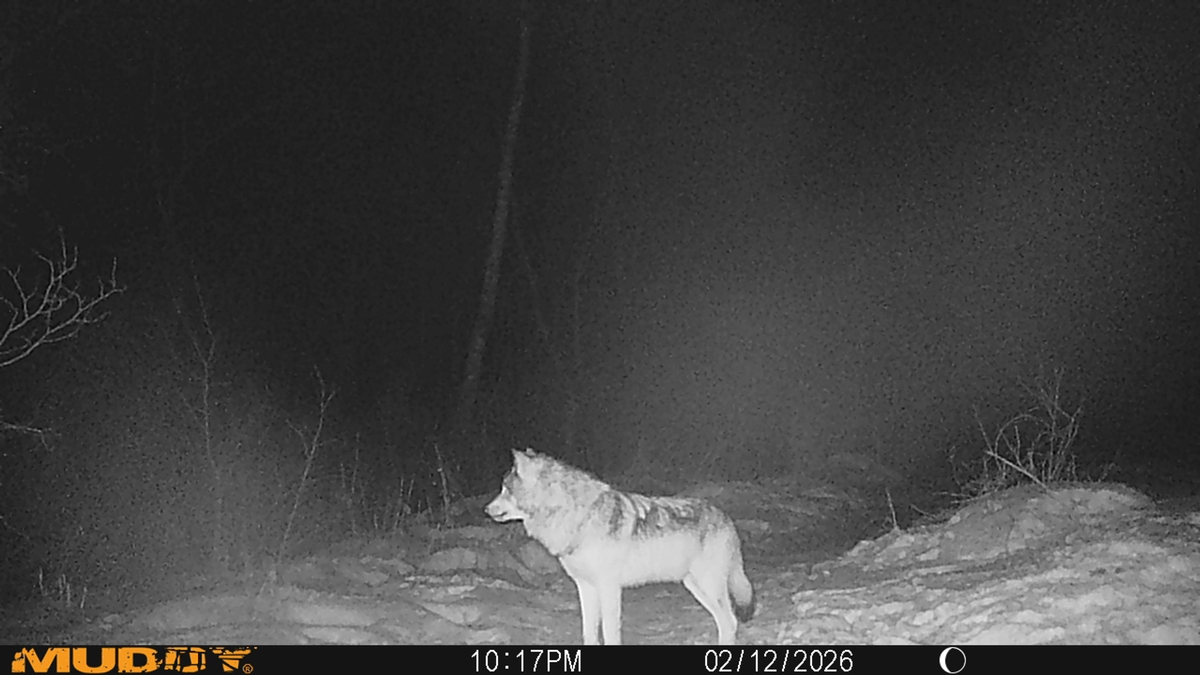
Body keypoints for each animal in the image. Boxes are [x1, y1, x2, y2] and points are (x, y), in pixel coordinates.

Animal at [485, 447, 755, 645]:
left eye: (505, 489)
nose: (486, 510)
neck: (579, 517)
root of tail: (726, 517)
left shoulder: (609, 587)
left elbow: (610, 632)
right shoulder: (585, 586)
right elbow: (589, 633)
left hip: (708, 586)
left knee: (730, 622)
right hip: (695, 586)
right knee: (726, 622)